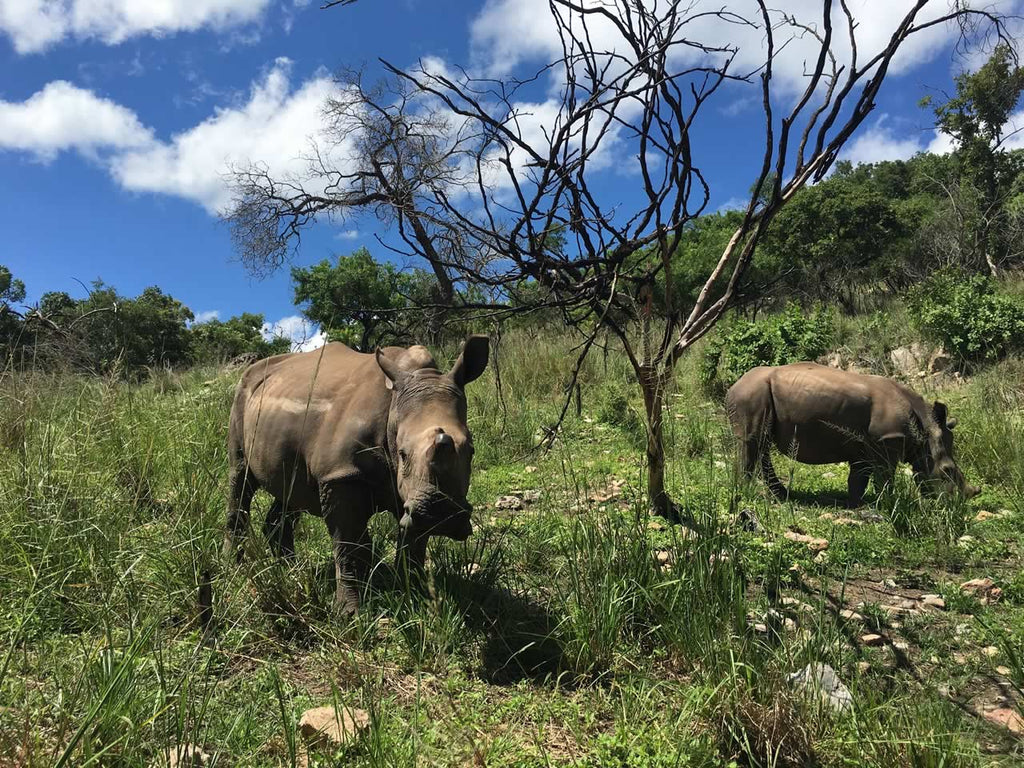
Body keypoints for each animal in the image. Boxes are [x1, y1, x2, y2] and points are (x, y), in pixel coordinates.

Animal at [224, 335, 489, 614]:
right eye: (403, 454)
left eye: (471, 451)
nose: (442, 515)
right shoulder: (340, 475)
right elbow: (348, 545)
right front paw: (350, 613)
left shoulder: (412, 499)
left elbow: (413, 543)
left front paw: (415, 599)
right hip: (241, 397)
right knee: (240, 478)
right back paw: (233, 568)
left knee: (291, 493)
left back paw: (291, 570)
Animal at [725, 363, 978, 506]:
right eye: (947, 471)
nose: (957, 503)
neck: (925, 431)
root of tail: (733, 385)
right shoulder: (888, 440)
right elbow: (884, 476)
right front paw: (889, 502)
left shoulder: (864, 446)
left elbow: (859, 477)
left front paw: (856, 503)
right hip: (752, 393)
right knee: (751, 441)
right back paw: (747, 492)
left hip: (759, 392)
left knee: (762, 445)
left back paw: (782, 494)